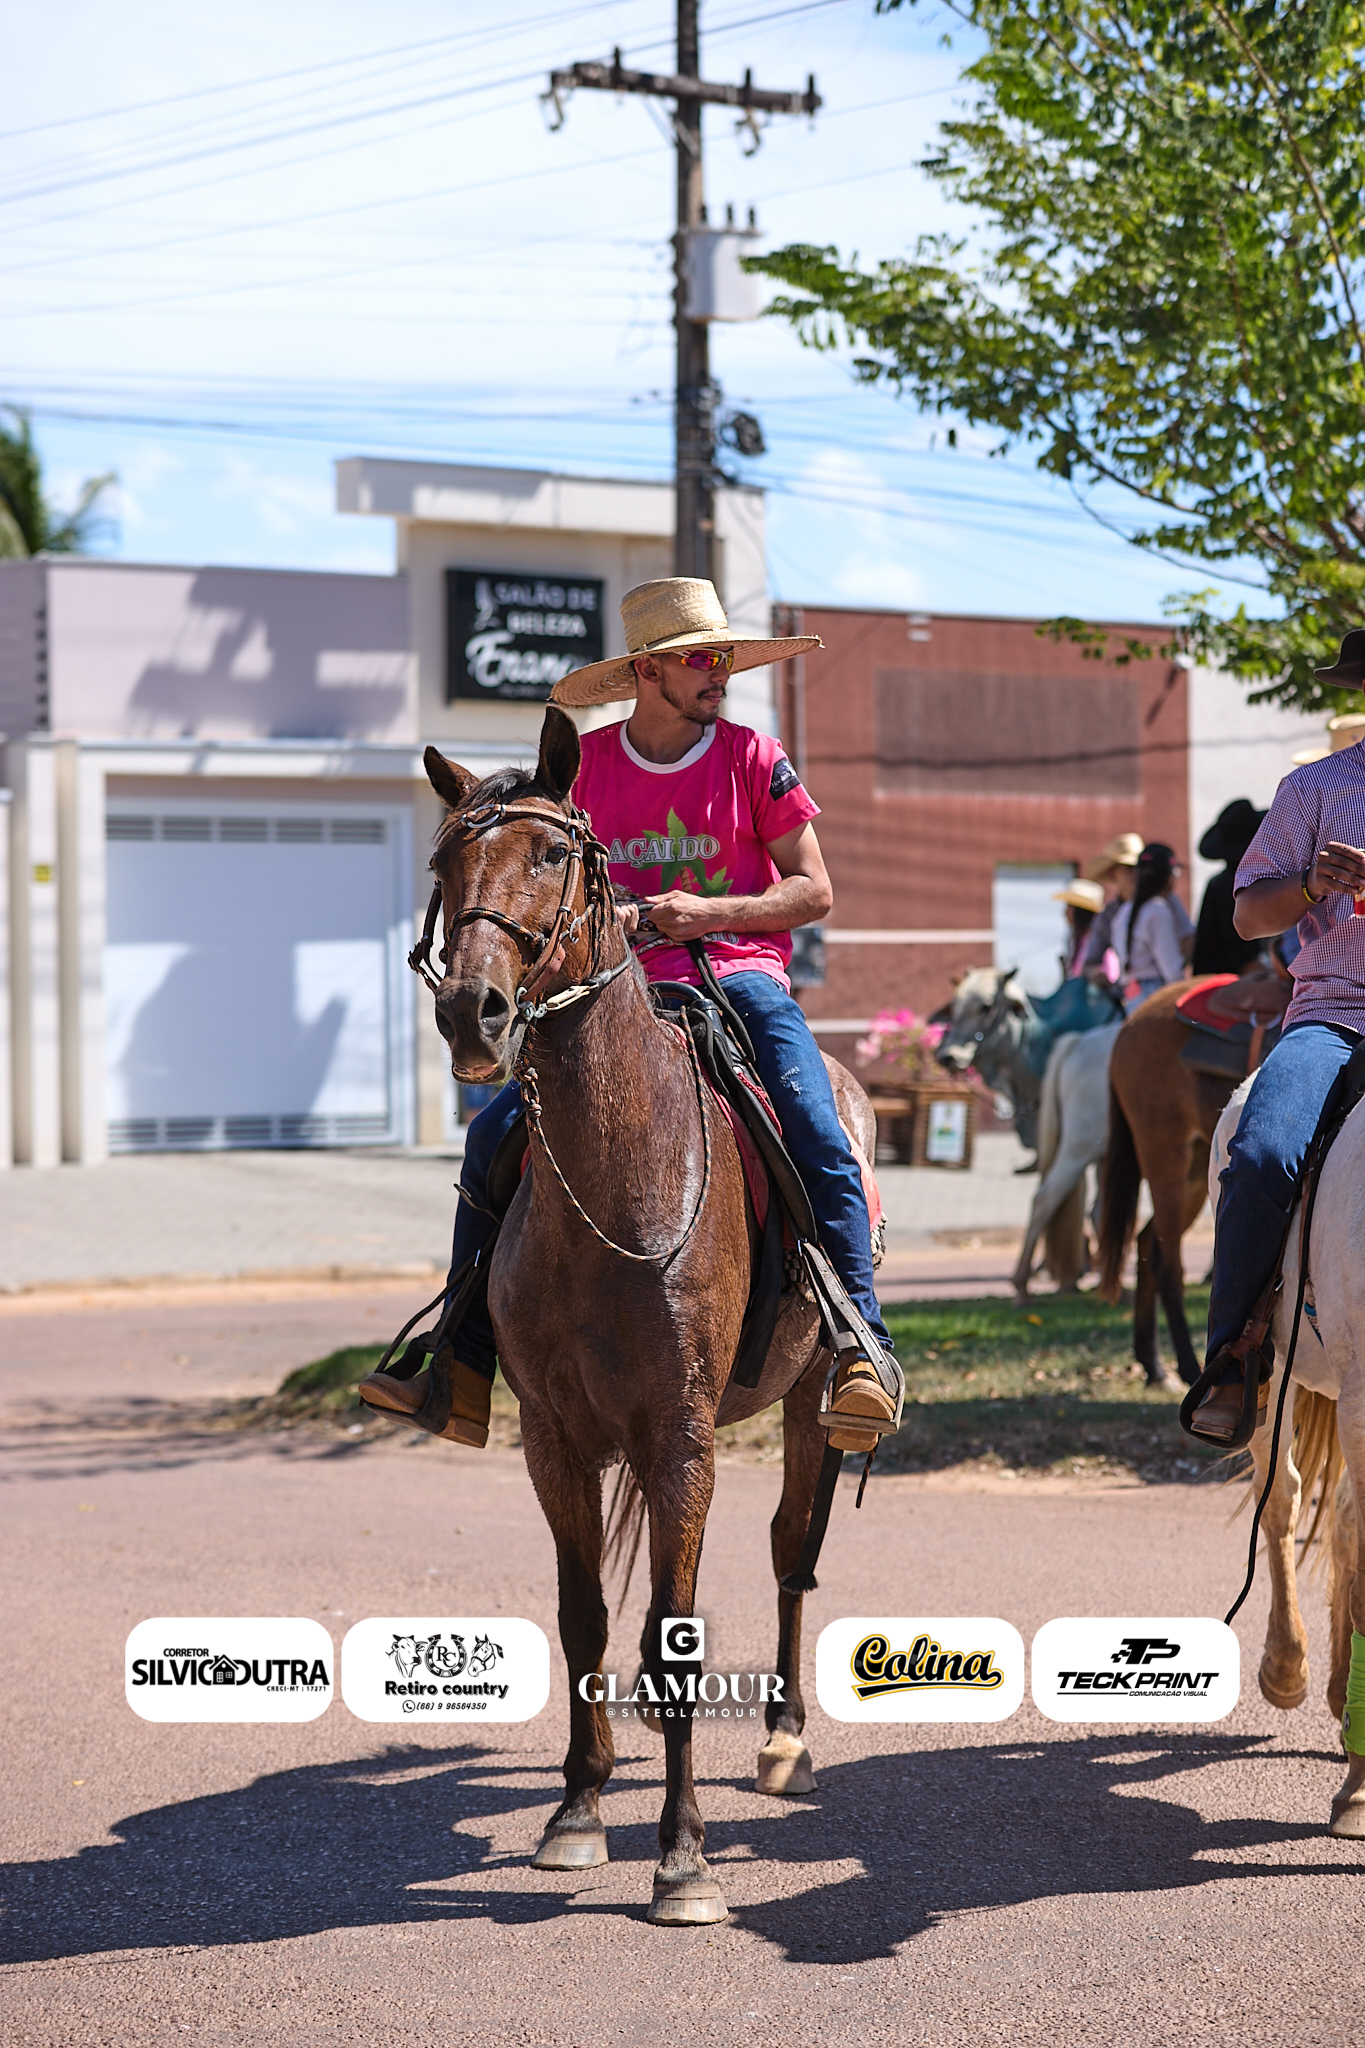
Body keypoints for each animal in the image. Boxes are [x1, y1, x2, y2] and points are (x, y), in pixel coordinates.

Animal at [421, 706, 874, 1924]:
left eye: (550, 852)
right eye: (443, 864)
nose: (472, 1010)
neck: (619, 1171)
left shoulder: (682, 1436)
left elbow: (676, 1637)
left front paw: (683, 1857)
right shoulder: (555, 1437)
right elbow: (583, 1615)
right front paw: (577, 1810)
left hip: (808, 1405)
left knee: (793, 1550)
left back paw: (782, 1739)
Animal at [1096, 984, 1237, 1383]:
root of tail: (1129, 1024)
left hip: (1194, 1174)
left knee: (1148, 1241)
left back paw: (1152, 1362)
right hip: (1167, 1164)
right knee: (1169, 1265)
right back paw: (1187, 1365)